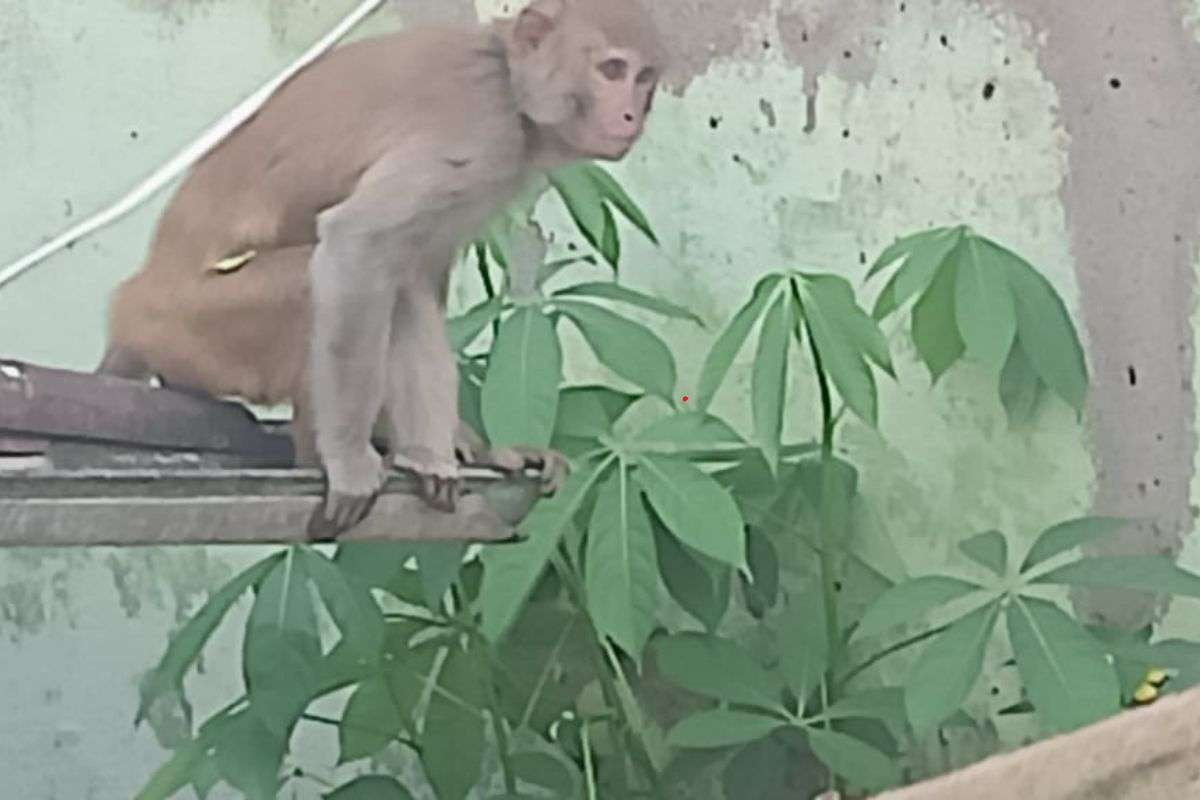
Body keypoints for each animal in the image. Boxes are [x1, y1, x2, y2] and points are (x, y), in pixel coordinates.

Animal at [97, 0, 663, 537]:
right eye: (612, 69)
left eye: (644, 79)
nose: (631, 115)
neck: (507, 80)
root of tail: (130, 308)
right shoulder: (480, 135)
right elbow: (357, 244)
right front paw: (350, 463)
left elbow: (417, 277)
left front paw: (463, 449)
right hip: (191, 324)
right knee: (321, 278)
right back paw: (322, 453)